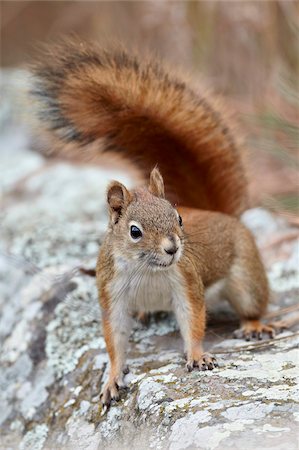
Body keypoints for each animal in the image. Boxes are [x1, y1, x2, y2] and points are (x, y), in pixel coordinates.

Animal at [32, 41, 276, 408]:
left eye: (179, 218)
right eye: (135, 232)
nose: (173, 248)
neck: (145, 270)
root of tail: (221, 215)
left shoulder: (186, 282)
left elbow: (193, 320)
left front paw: (197, 355)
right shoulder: (111, 293)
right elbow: (114, 338)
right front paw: (112, 378)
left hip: (246, 275)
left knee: (251, 303)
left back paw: (253, 325)